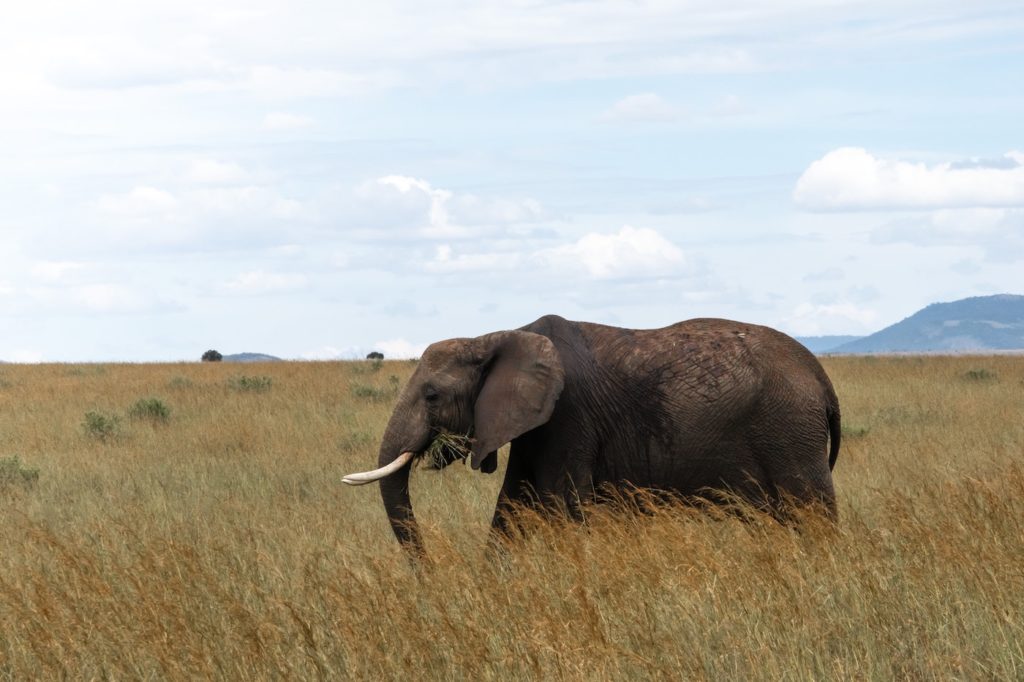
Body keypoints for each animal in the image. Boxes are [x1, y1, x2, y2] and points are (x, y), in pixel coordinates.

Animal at [343, 314, 840, 555]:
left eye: (431, 396)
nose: (429, 572)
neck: (496, 337)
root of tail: (820, 374)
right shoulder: (534, 428)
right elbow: (511, 508)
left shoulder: (567, 417)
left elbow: (561, 508)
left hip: (790, 430)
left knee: (813, 512)